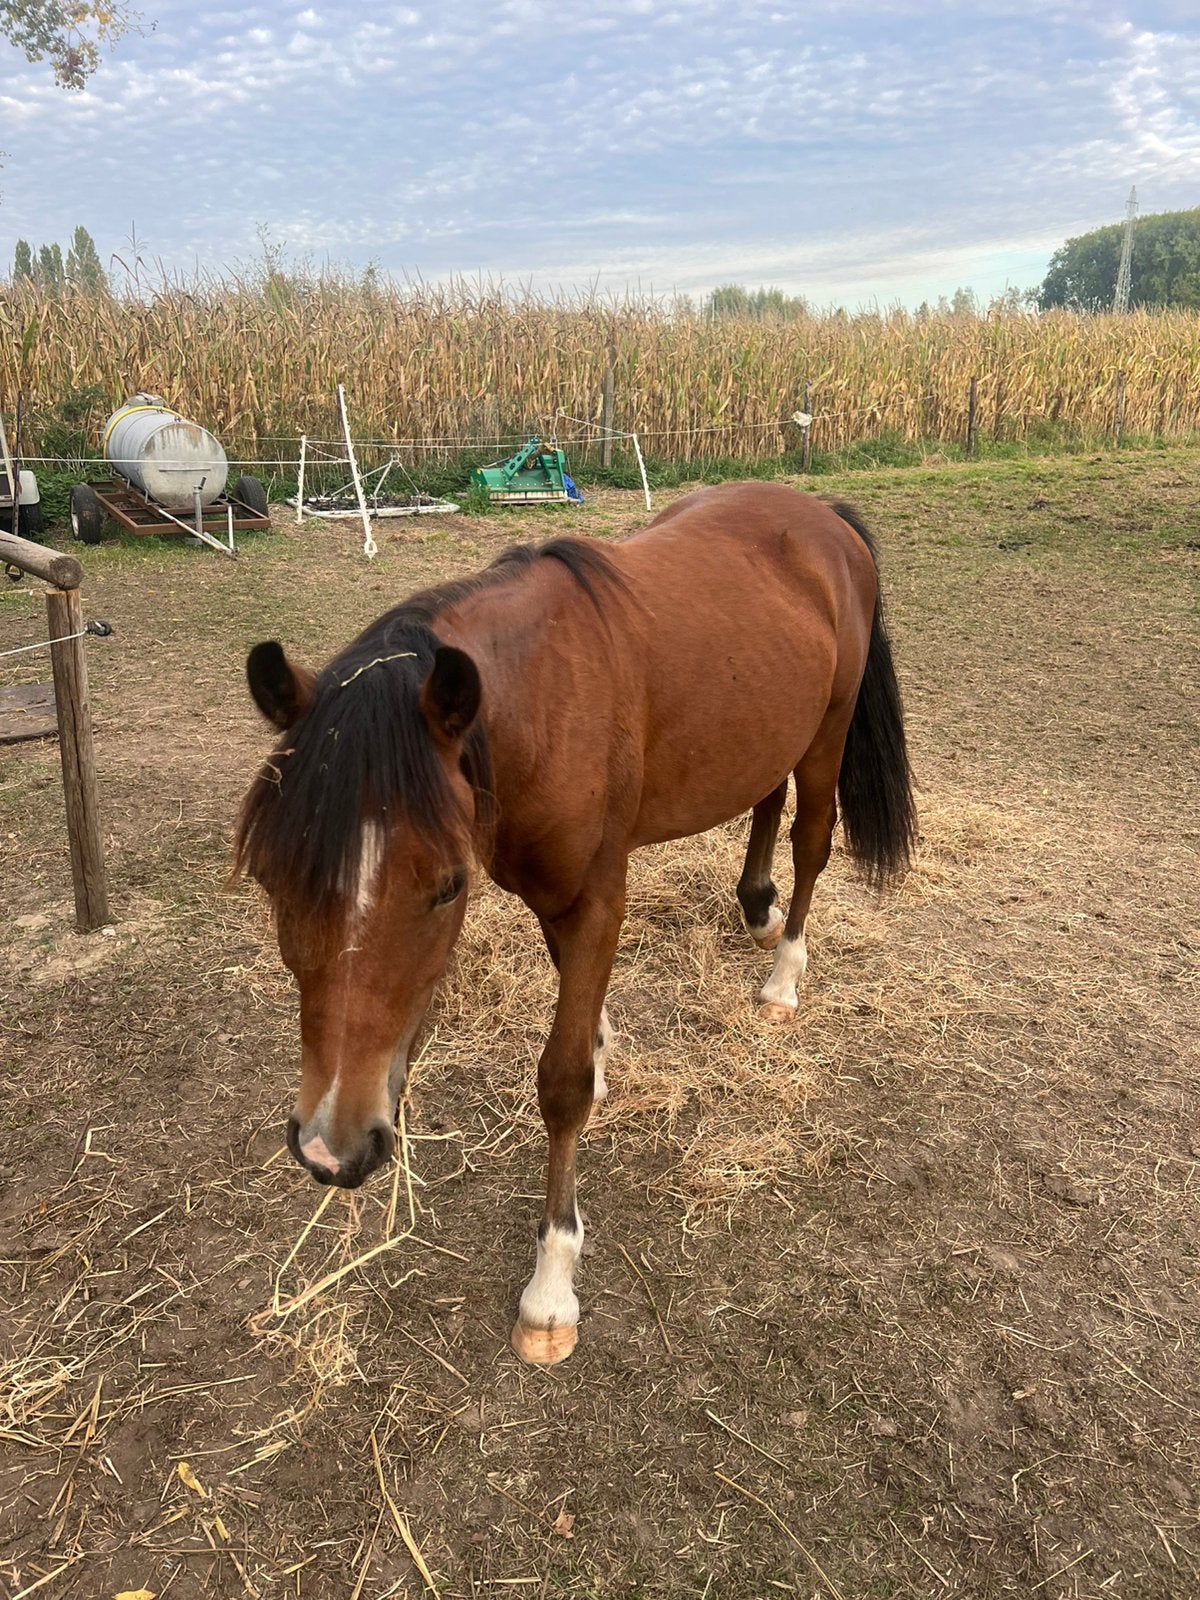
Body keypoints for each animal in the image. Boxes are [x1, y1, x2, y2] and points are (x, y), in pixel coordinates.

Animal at [234, 481, 915, 1365]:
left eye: (446, 887)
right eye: (271, 876)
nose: (331, 1147)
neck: (540, 706)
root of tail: (822, 513)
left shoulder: (595, 896)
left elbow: (560, 1086)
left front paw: (552, 1287)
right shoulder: (551, 896)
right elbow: (574, 992)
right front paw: (600, 1040)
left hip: (827, 734)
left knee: (810, 838)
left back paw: (783, 976)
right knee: (765, 799)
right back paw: (757, 907)